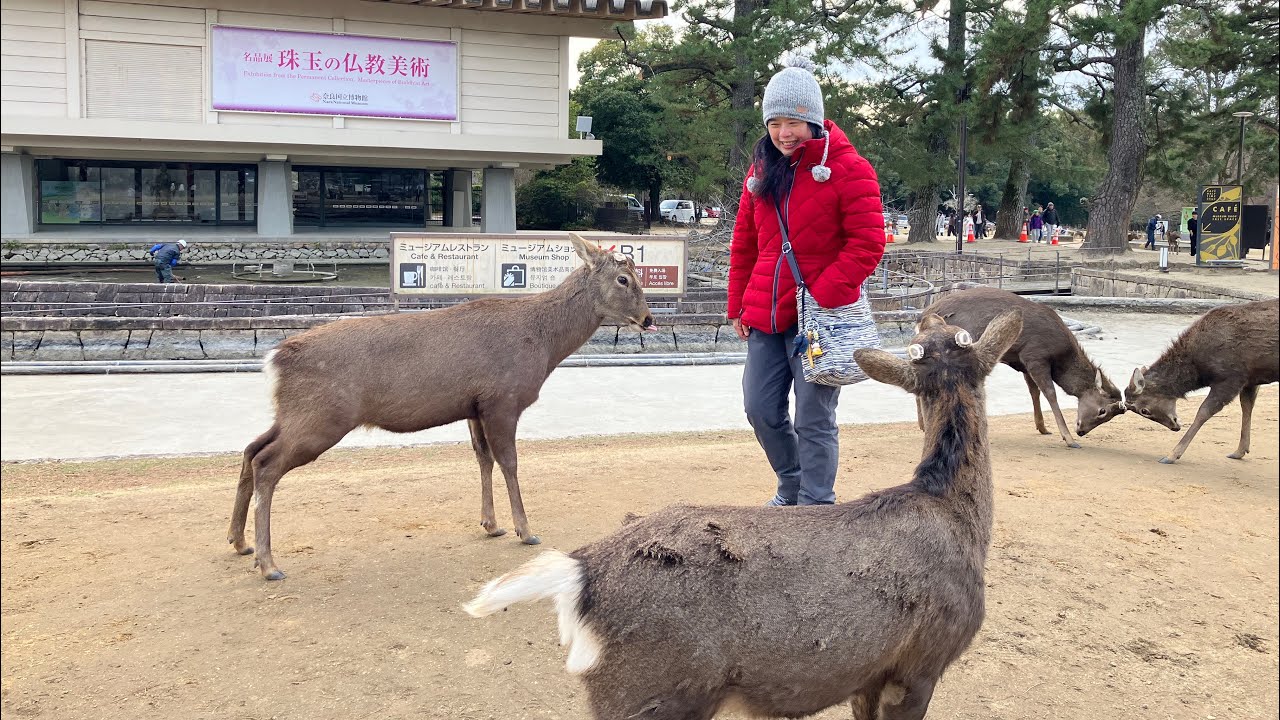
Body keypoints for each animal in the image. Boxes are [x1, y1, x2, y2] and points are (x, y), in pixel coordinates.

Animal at [228, 234, 656, 580]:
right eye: (624, 279)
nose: (648, 318)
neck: (544, 346)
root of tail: (275, 360)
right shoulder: (503, 398)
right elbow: (510, 461)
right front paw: (526, 530)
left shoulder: (474, 406)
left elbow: (483, 458)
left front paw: (491, 524)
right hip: (322, 417)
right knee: (266, 462)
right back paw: (268, 563)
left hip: (293, 414)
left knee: (250, 448)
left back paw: (238, 541)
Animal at [464, 310, 1024, 720]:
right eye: (926, 330)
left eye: (943, 334)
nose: (931, 311)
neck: (959, 518)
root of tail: (579, 573)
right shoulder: (922, 663)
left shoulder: (868, 675)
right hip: (655, 691)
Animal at [917, 287, 1123, 448]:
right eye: (1102, 411)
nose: (1081, 431)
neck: (1060, 356)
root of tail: (923, 317)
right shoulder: (1034, 355)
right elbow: (1050, 393)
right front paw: (1069, 439)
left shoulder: (1023, 364)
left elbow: (1034, 392)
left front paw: (1043, 428)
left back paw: (923, 425)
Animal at [1123, 298, 1278, 464]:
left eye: (1144, 410)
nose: (1175, 427)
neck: (1199, 370)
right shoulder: (1250, 378)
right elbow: (1247, 406)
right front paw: (1239, 451)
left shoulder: (1231, 377)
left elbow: (1203, 412)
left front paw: (1171, 455)